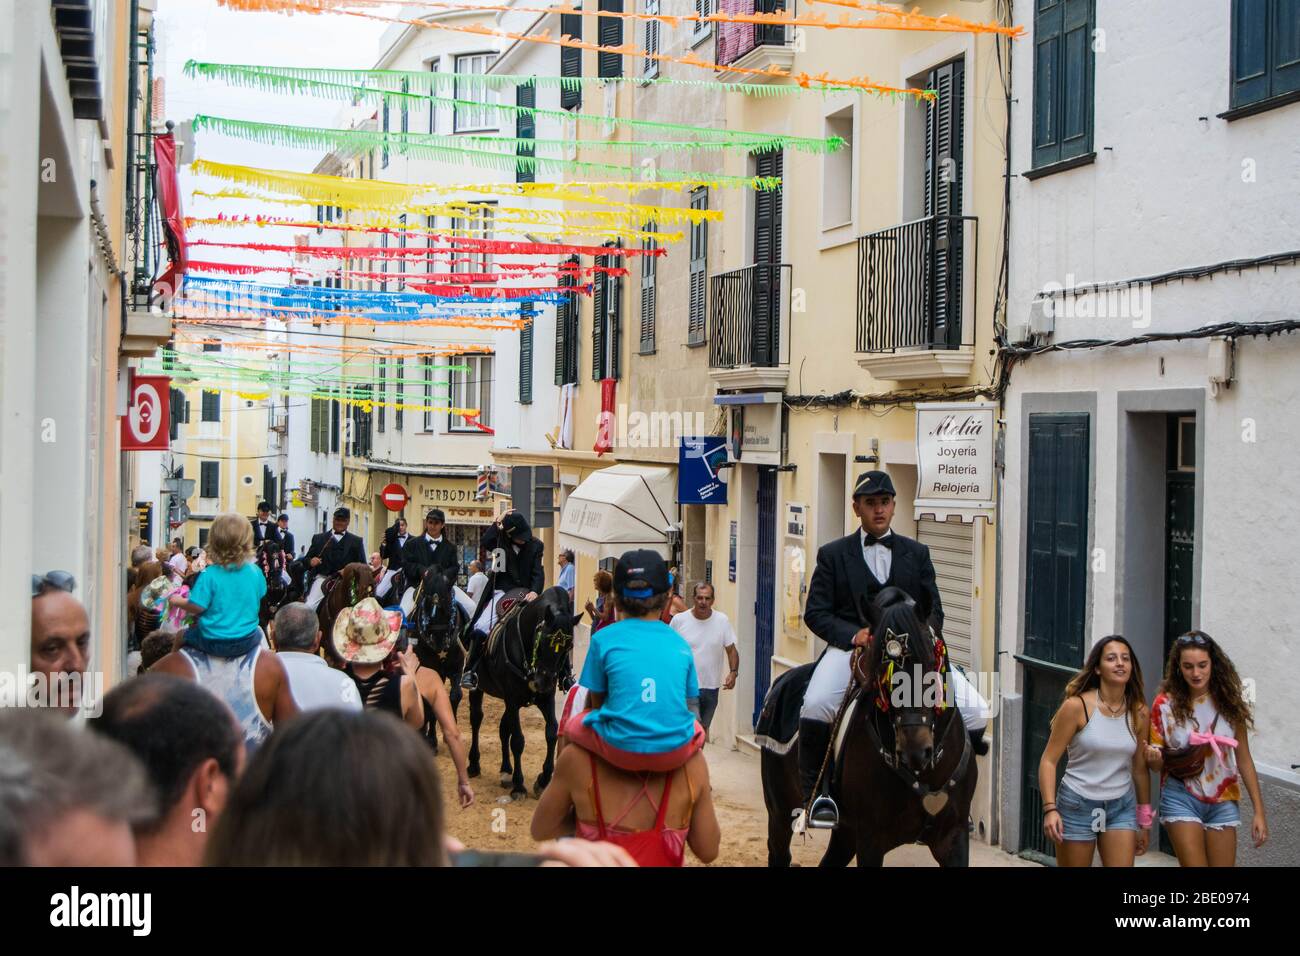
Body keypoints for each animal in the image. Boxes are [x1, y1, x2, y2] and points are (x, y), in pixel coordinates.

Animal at [467, 590, 579, 801]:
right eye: (542, 641)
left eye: (568, 647)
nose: (542, 682)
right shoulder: (512, 699)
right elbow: (518, 740)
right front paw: (519, 786)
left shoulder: (545, 699)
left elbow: (551, 732)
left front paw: (543, 779)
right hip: (479, 689)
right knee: (476, 720)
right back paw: (474, 764)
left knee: (504, 729)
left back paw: (505, 770)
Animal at [759, 587, 977, 868]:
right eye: (884, 671)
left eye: (931, 663)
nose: (915, 751)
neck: (924, 774)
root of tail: (780, 682)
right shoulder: (871, 837)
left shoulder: (954, 835)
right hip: (780, 811)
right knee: (779, 852)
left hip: (845, 832)